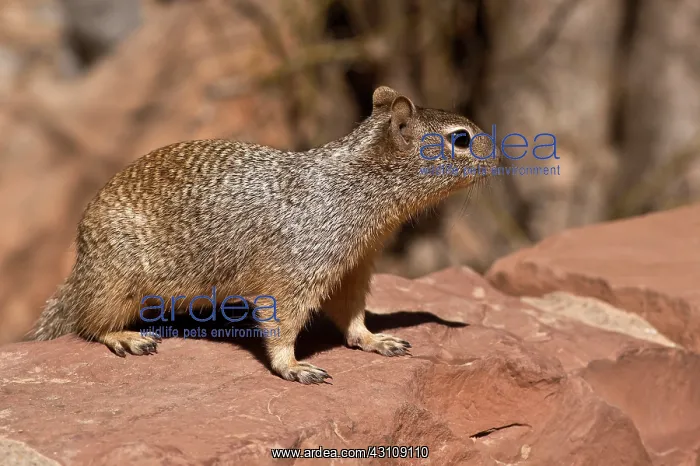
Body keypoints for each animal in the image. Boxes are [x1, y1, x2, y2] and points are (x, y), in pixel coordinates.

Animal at [27, 86, 497, 384]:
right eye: (461, 139)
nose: (500, 156)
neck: (355, 187)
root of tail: (81, 261)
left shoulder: (353, 267)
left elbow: (351, 315)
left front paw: (373, 339)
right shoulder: (295, 271)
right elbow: (282, 323)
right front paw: (294, 367)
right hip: (118, 280)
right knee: (88, 322)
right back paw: (126, 338)